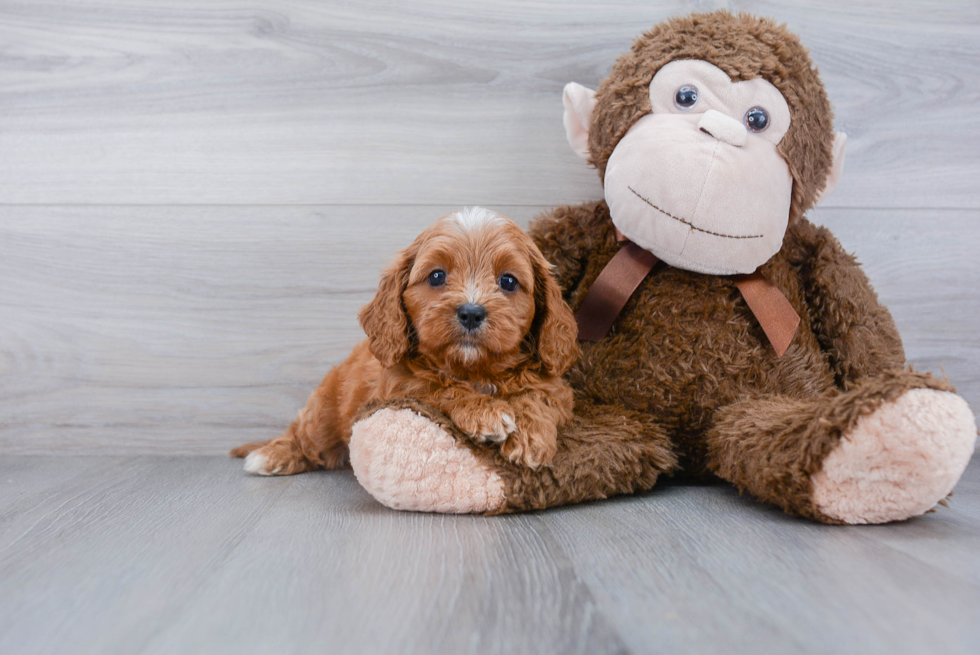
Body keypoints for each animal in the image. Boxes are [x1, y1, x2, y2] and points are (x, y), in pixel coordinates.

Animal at [233, 209, 580, 476]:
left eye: (508, 281)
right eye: (437, 276)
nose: (471, 312)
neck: (475, 370)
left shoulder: (557, 389)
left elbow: (537, 397)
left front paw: (531, 436)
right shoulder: (400, 387)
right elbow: (440, 387)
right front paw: (486, 413)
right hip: (322, 412)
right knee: (303, 437)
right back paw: (271, 455)